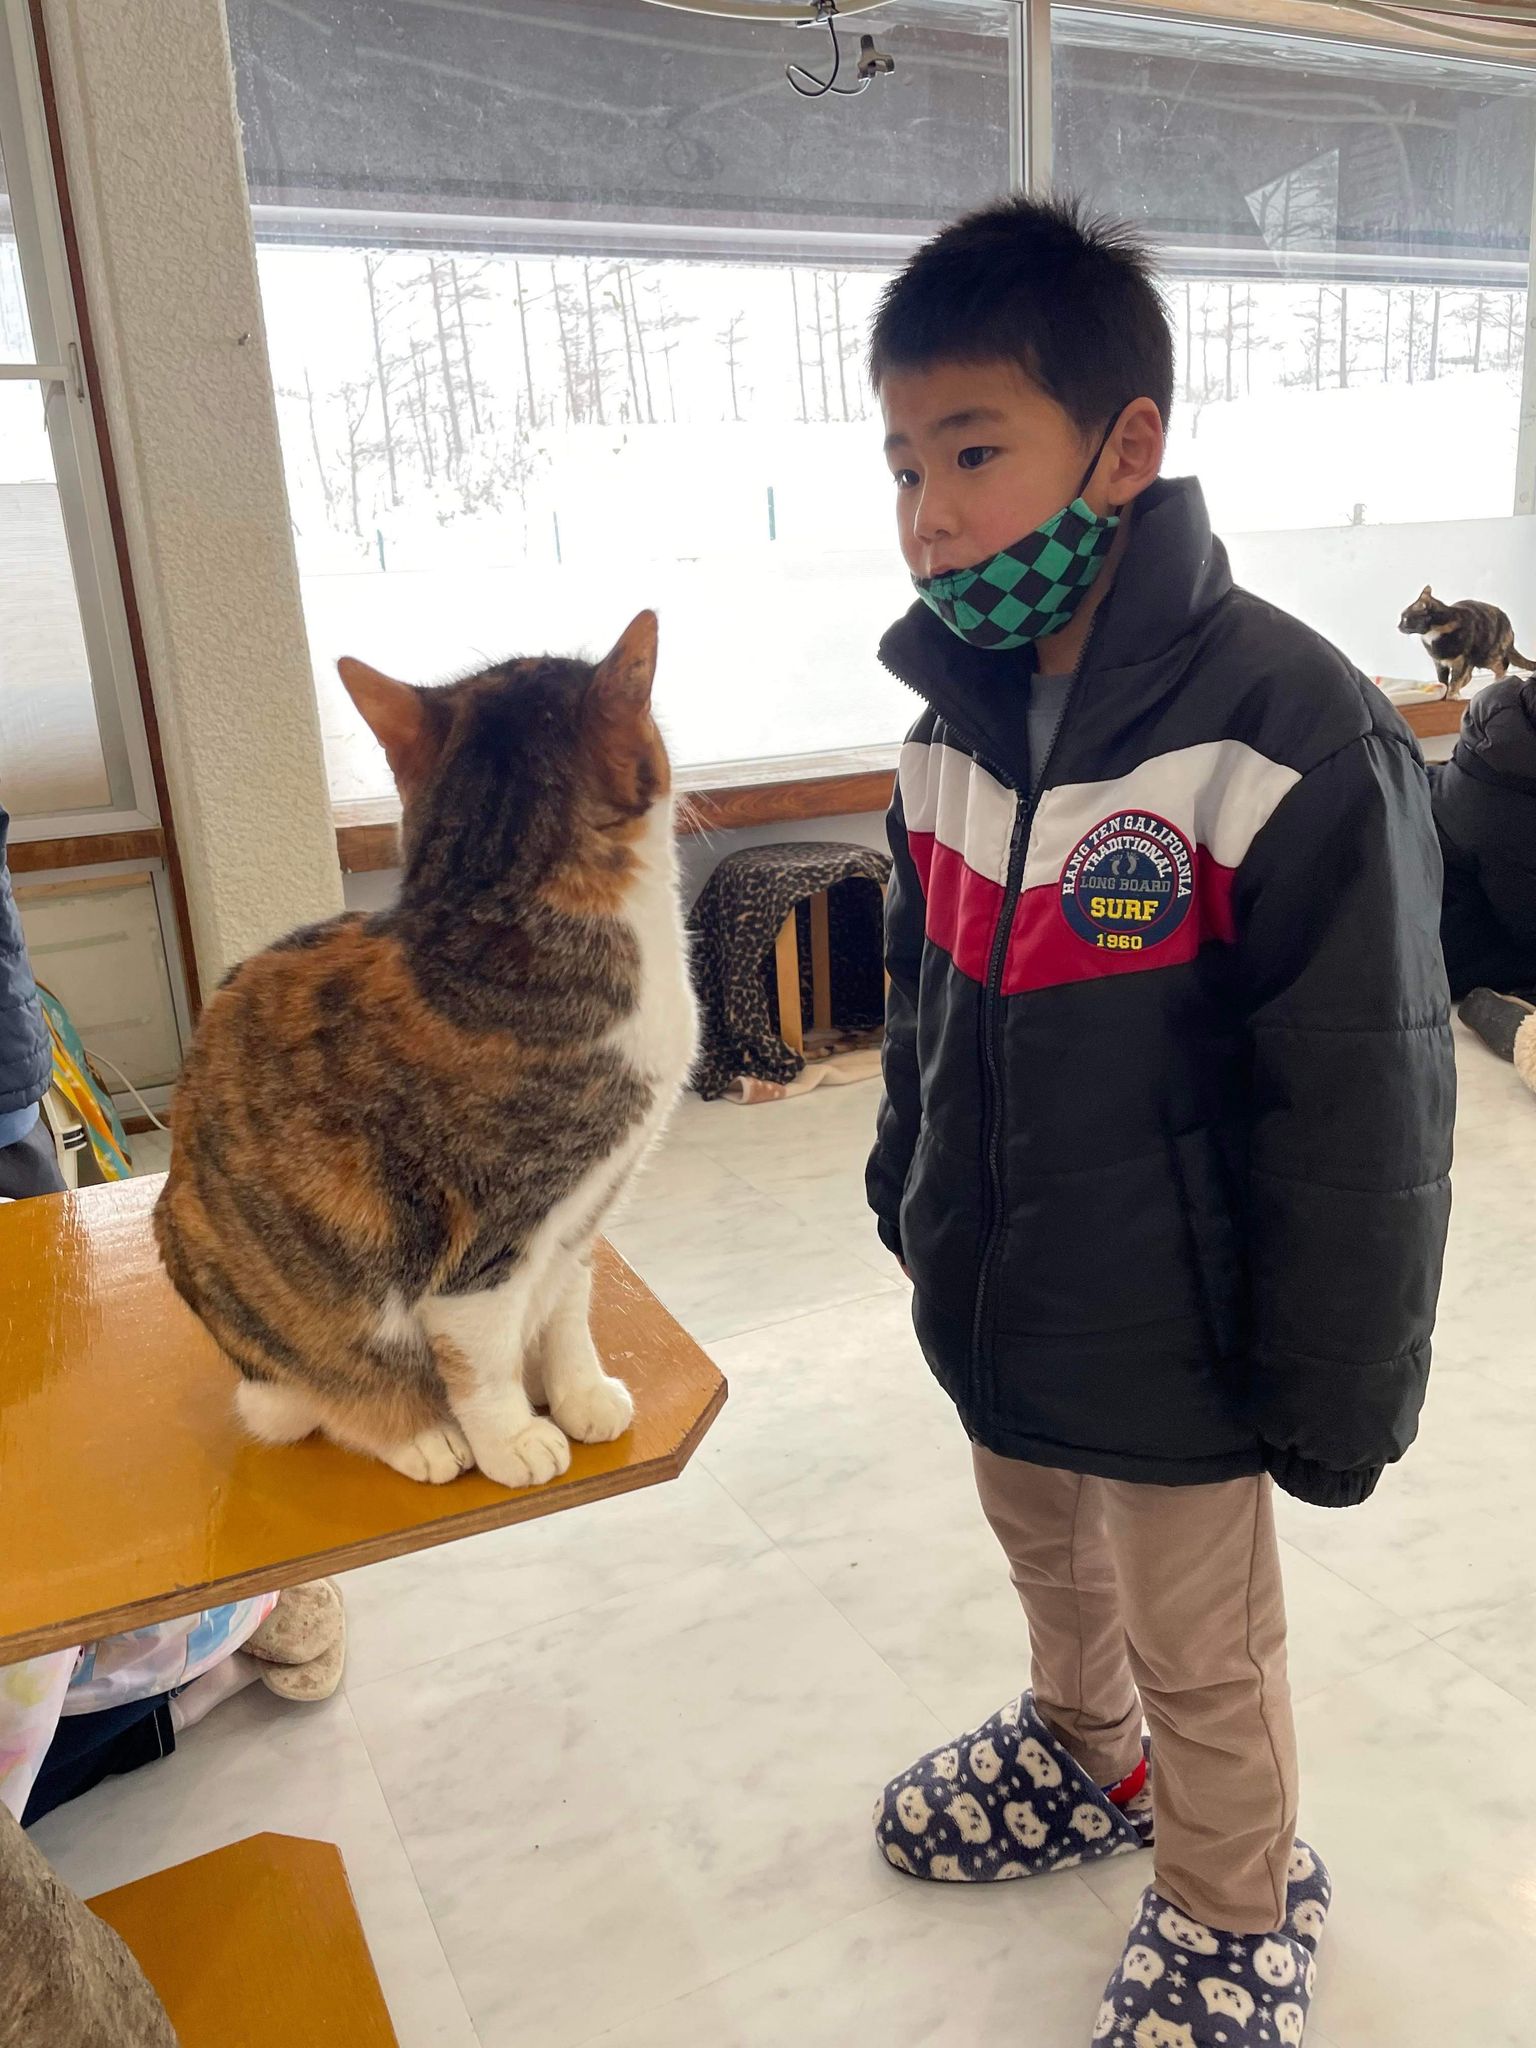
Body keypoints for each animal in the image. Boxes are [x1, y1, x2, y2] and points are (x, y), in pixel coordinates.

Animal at [154, 612, 699, 1489]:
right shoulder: (481, 1242)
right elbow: (479, 1356)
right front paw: (512, 1439)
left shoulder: (582, 1216)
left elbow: (569, 1304)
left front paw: (577, 1392)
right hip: (246, 1289)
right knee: (329, 1395)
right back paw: (417, 1434)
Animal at [1398, 586, 1534, 695]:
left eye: (1404, 618)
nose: (1397, 626)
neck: (1434, 632)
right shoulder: (1439, 662)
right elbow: (1443, 681)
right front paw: (1444, 694)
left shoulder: (1461, 659)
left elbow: (1455, 680)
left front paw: (1451, 695)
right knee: (1468, 676)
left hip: (1487, 655)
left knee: (1503, 664)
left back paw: (1497, 683)